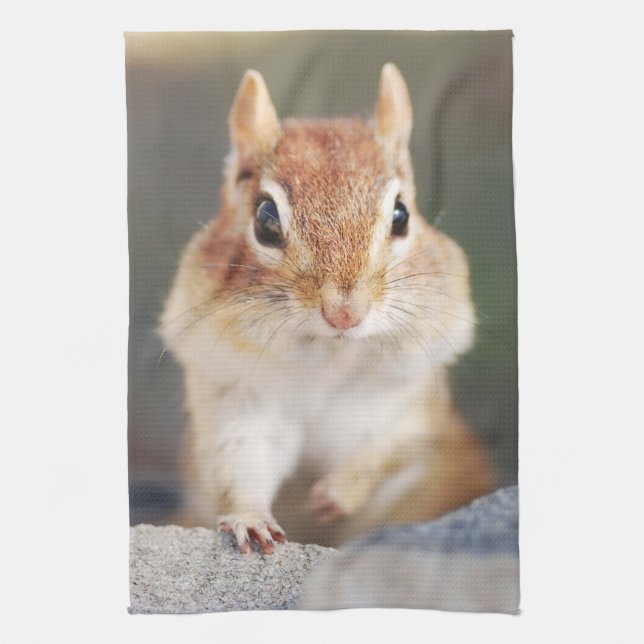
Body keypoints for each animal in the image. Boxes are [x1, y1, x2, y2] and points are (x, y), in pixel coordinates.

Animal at [159, 63, 496, 554]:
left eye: (401, 215)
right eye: (264, 218)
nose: (345, 312)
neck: (329, 352)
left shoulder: (410, 402)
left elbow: (390, 450)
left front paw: (335, 494)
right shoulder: (236, 397)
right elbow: (241, 461)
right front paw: (250, 519)